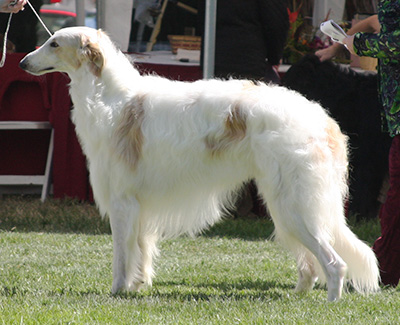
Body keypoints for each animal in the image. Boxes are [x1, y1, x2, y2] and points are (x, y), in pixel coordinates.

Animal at [20, 26, 380, 300]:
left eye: (54, 43)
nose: (22, 62)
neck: (112, 98)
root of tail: (325, 120)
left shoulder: (122, 201)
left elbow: (122, 259)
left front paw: (118, 291)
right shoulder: (141, 208)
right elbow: (141, 254)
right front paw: (138, 287)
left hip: (294, 207)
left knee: (334, 263)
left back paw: (331, 301)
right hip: (285, 207)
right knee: (311, 265)